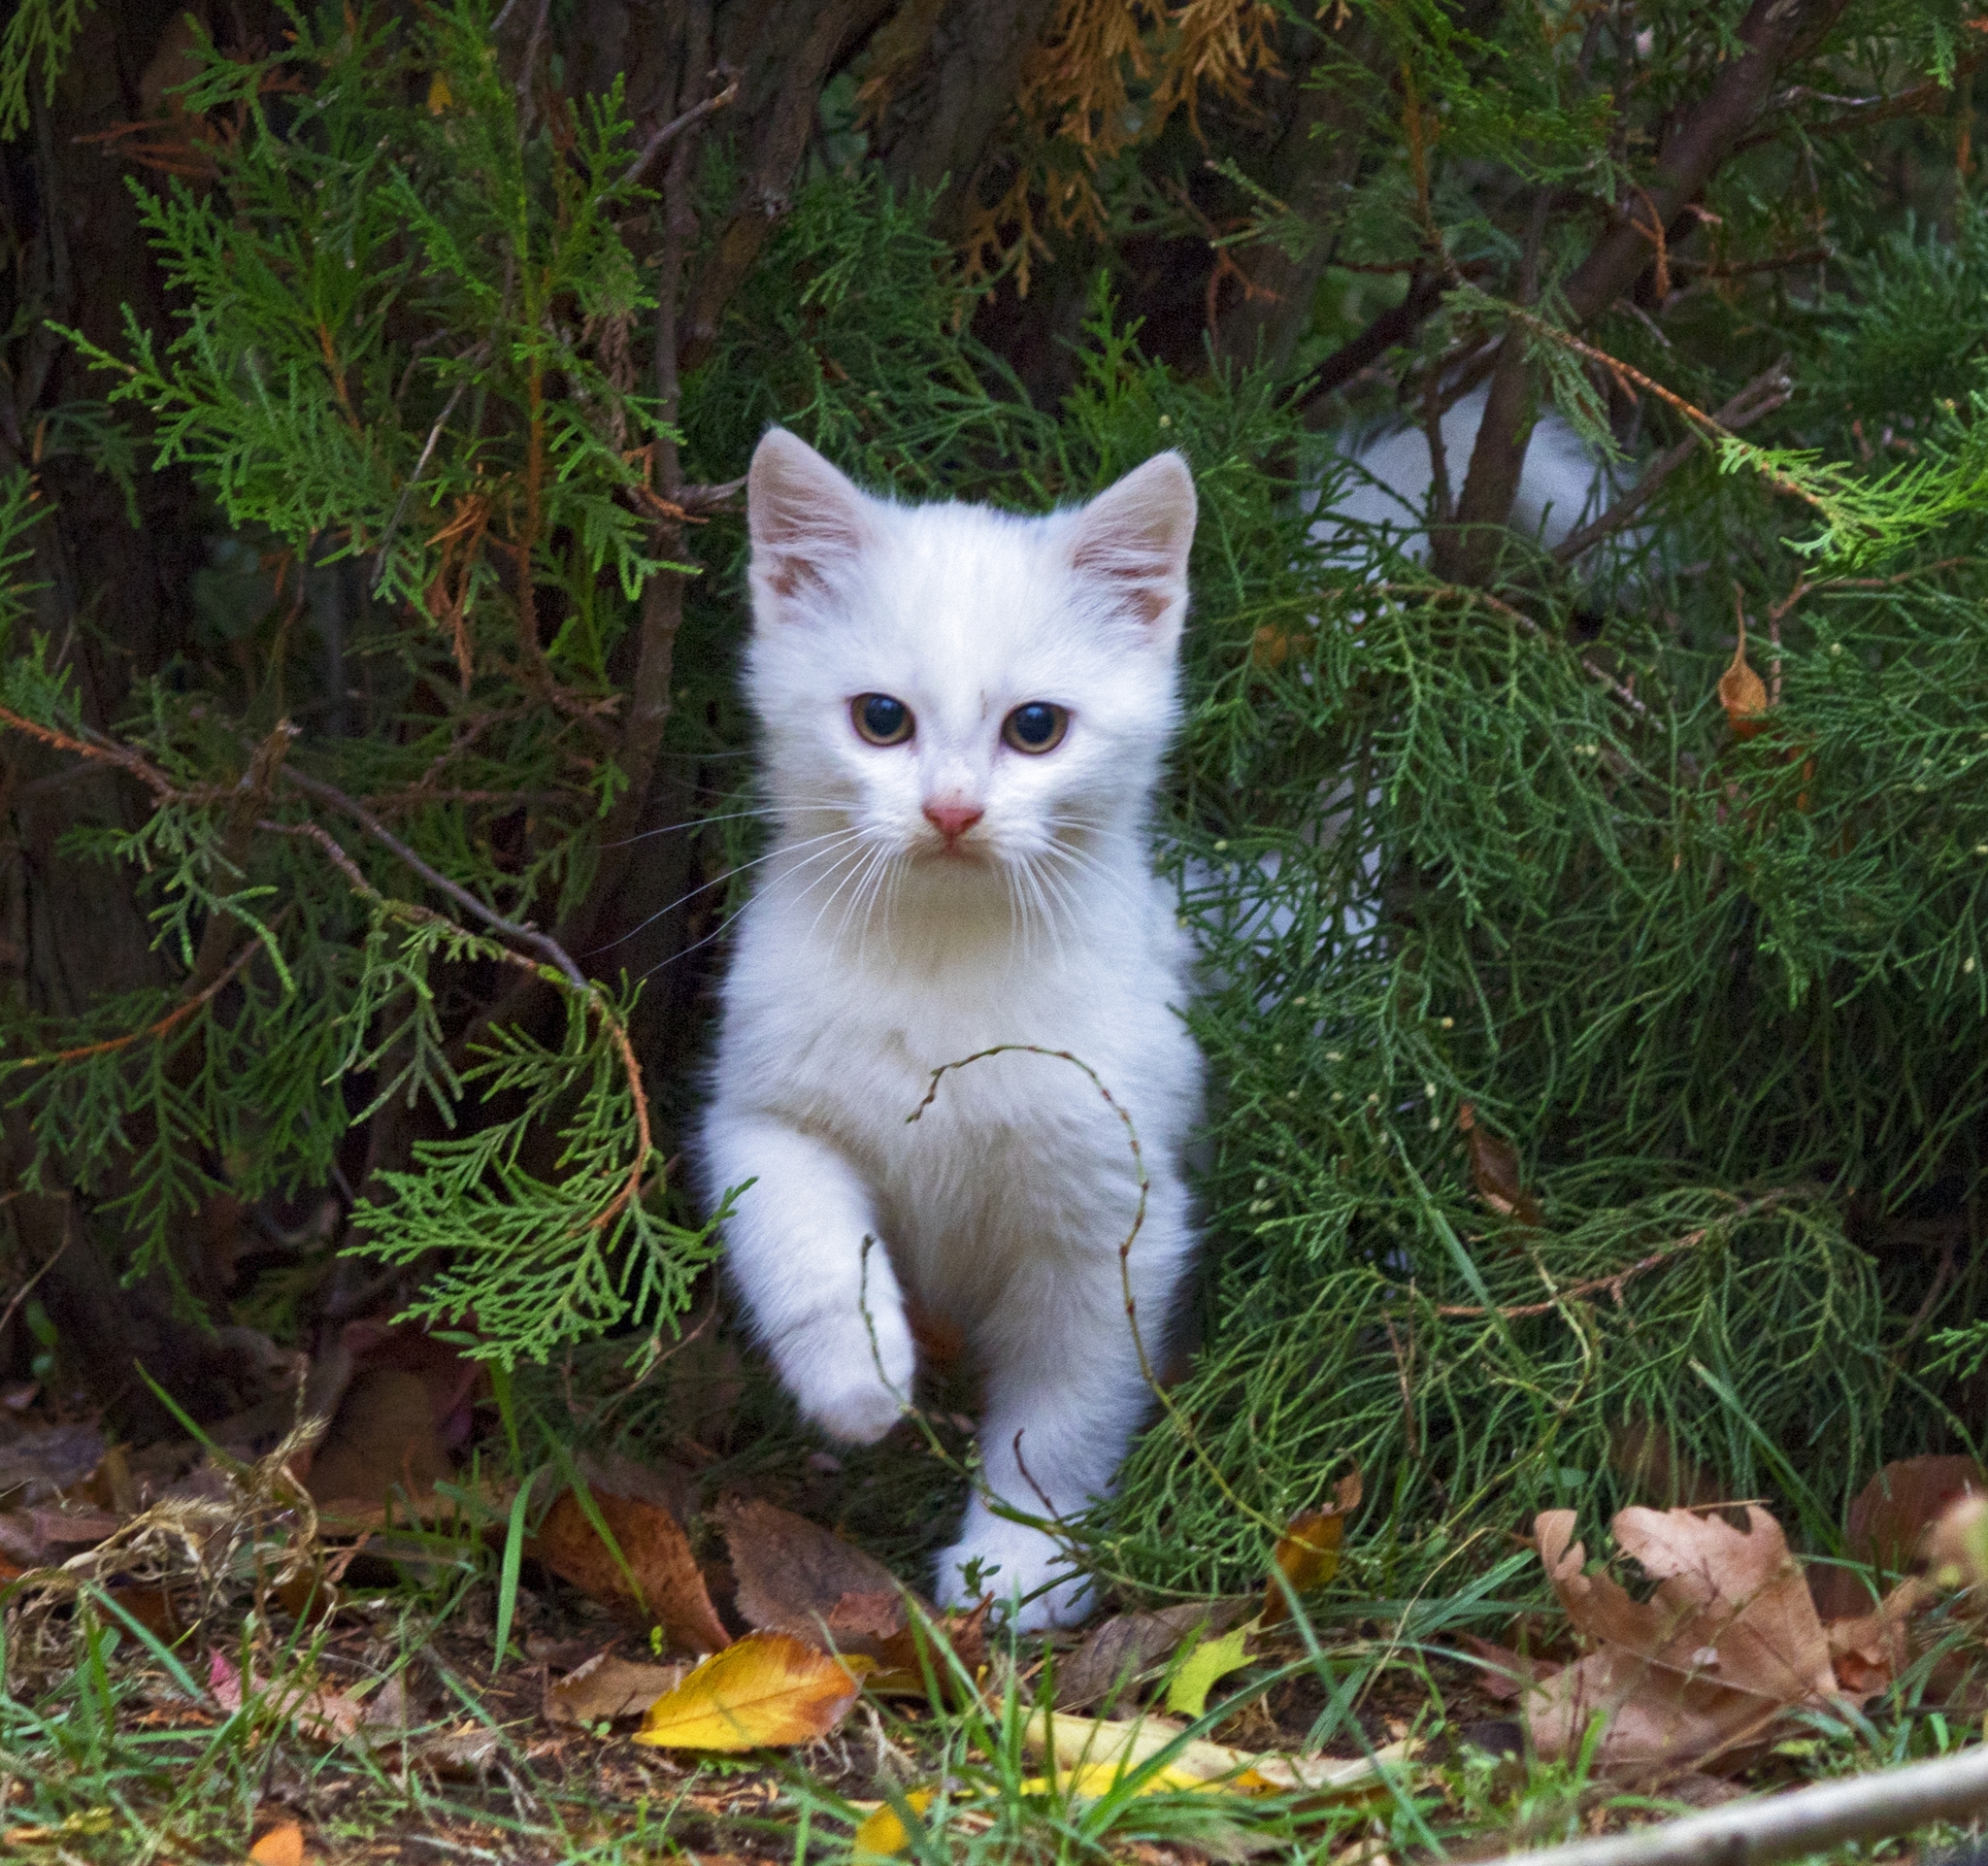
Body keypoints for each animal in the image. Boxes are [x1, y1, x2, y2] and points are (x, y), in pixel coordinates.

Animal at [699, 429, 1192, 1623]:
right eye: (881, 719)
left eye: (1035, 728)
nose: (953, 810)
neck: (944, 951)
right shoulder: (761, 1116)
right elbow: (801, 1239)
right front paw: (858, 1374)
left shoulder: (1111, 1215)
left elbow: (1064, 1409)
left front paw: (1022, 1560)